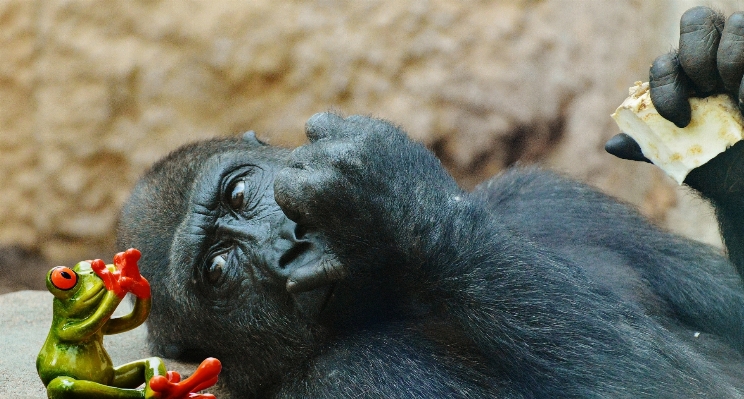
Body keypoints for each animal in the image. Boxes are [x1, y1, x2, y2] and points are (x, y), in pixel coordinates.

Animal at [119, 7, 744, 399]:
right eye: (217, 271)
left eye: (240, 192)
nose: (287, 248)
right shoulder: (354, 376)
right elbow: (677, 389)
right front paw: (399, 198)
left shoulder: (544, 197)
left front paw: (716, 97)